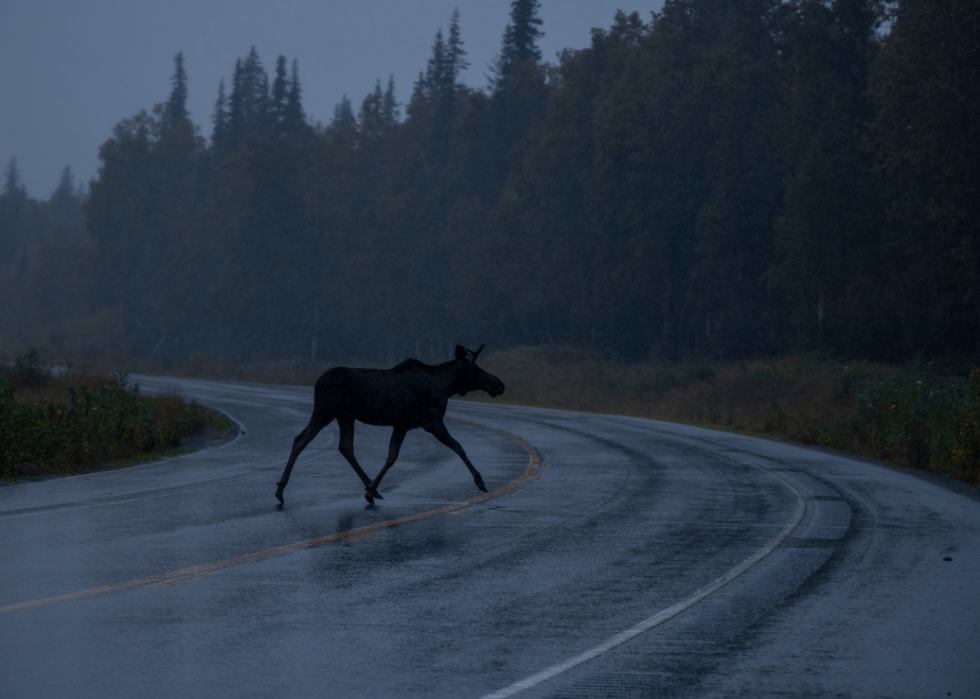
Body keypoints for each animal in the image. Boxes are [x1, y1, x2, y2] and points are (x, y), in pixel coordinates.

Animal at [276, 344, 506, 504]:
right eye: (476, 369)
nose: (499, 384)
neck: (445, 387)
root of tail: (317, 382)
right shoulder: (430, 421)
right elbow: (458, 447)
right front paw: (480, 481)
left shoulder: (402, 424)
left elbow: (392, 456)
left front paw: (371, 490)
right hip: (325, 411)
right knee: (302, 439)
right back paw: (280, 489)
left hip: (345, 416)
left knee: (344, 447)